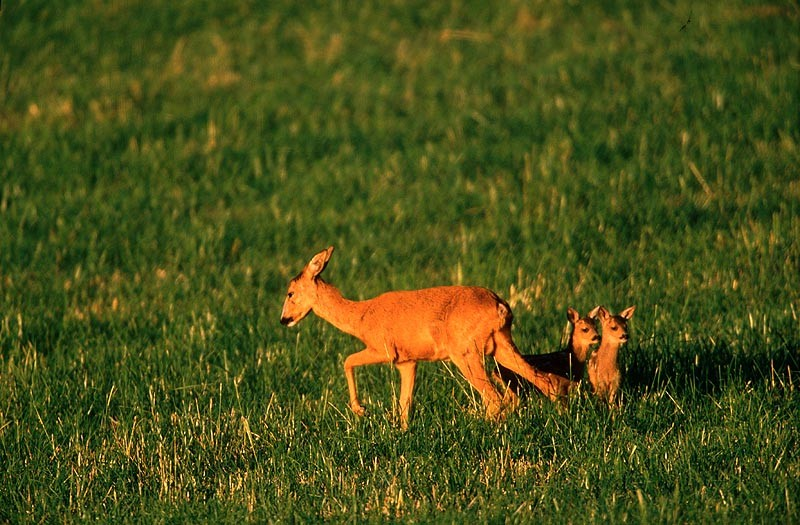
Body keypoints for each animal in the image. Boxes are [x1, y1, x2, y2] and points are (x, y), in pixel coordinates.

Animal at [282, 246, 564, 426]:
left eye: (290, 292)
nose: (284, 319)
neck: (361, 317)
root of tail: (500, 306)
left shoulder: (383, 349)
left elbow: (347, 361)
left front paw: (360, 410)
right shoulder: (407, 361)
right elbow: (404, 403)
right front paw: (401, 432)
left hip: (465, 351)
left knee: (495, 399)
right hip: (500, 344)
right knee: (543, 381)